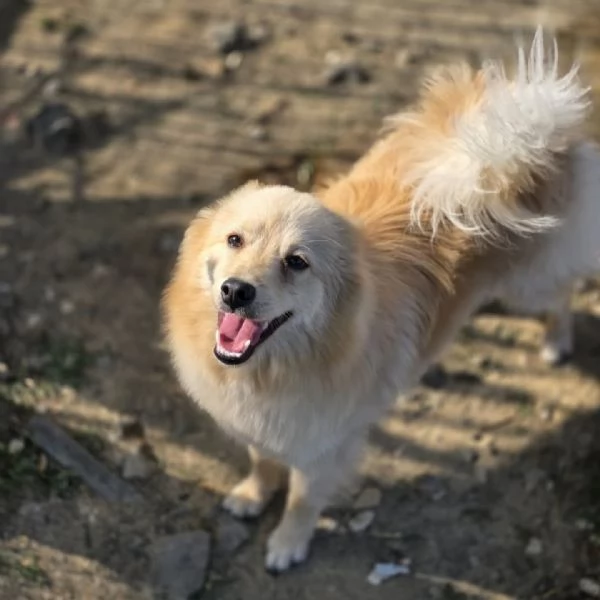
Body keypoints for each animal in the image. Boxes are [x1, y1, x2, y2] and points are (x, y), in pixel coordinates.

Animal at [163, 28, 599, 572]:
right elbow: (262, 462)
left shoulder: (325, 448)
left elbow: (301, 500)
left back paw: (556, 342)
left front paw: (287, 544)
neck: (275, 369)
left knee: (562, 293)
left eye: (297, 262)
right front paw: (251, 495)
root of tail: (527, 128)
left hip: (531, 282)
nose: (235, 291)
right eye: (235, 240)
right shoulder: (262, 427)